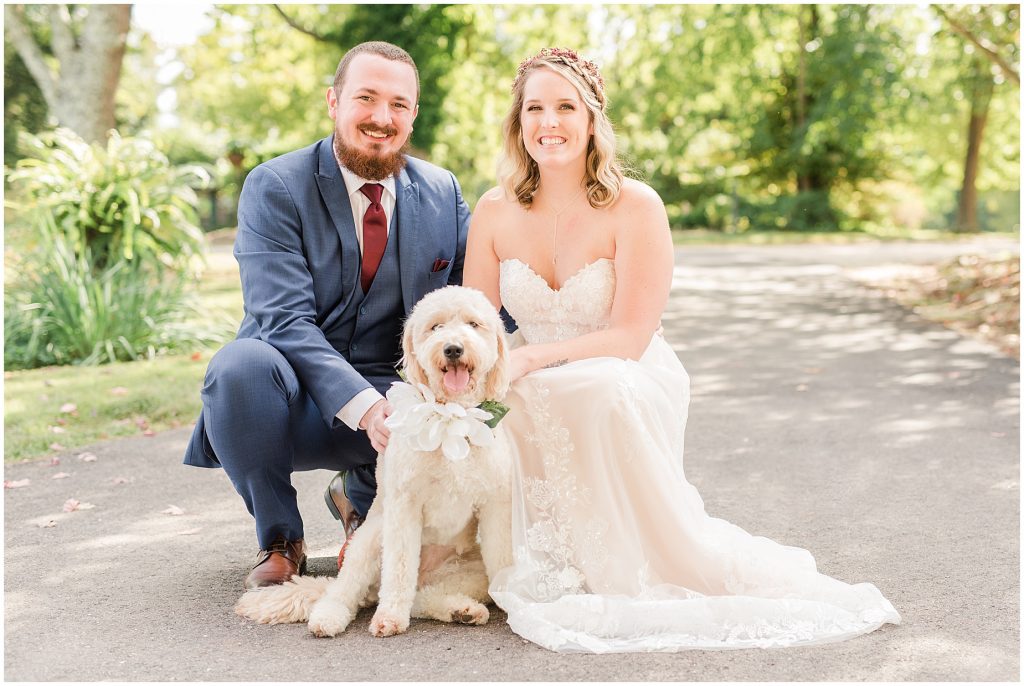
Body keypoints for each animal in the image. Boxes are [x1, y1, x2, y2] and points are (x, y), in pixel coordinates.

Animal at [233, 286, 512, 638]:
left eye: (474, 324)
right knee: (348, 589)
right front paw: (389, 616)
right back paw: (331, 616)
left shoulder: (495, 505)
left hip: (469, 570)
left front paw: (515, 600)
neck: (450, 417)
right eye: (435, 327)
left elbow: (502, 557)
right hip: (370, 538)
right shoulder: (404, 507)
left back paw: (462, 610)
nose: (452, 348)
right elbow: (399, 568)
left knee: (422, 597)